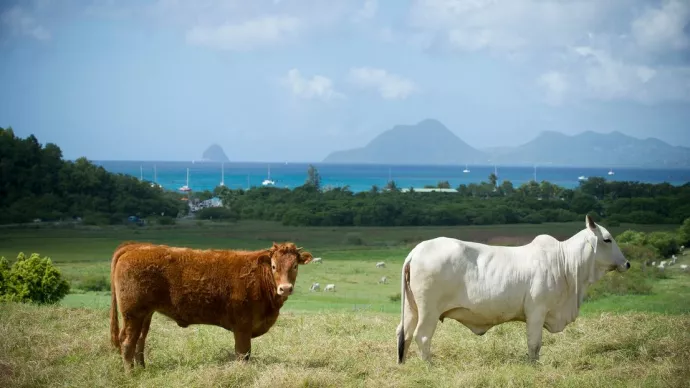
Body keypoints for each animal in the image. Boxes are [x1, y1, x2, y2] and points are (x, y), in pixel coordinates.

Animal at [109, 239, 314, 370]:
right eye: (273, 266)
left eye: (295, 266)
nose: (285, 288)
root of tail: (135, 247)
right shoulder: (242, 326)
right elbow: (243, 354)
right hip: (133, 314)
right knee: (127, 342)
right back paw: (131, 375)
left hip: (145, 314)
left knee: (140, 341)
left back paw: (142, 370)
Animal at [392, 215, 628, 364]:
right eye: (607, 239)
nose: (627, 264)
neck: (565, 263)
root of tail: (417, 250)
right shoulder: (537, 311)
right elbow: (534, 344)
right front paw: (533, 366)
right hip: (429, 311)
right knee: (422, 336)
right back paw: (429, 366)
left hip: (412, 309)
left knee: (404, 333)